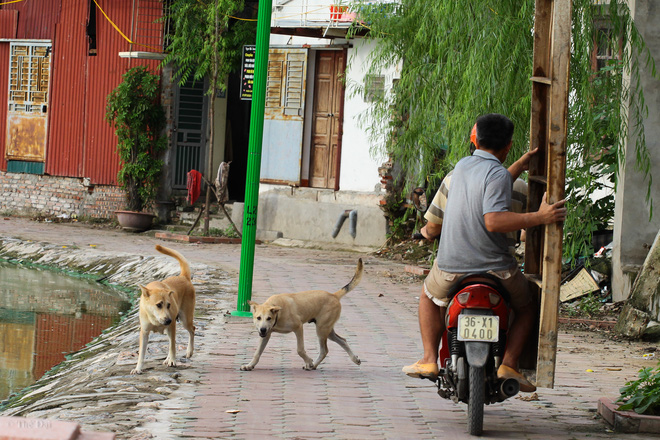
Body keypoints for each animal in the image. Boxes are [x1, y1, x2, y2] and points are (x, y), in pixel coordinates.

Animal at [130, 244, 195, 374]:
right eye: (159, 305)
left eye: (169, 305)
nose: (169, 320)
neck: (155, 319)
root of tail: (183, 277)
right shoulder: (144, 332)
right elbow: (142, 353)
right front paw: (138, 368)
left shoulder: (172, 326)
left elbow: (172, 346)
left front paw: (173, 361)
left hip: (185, 319)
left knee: (192, 330)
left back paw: (189, 351)